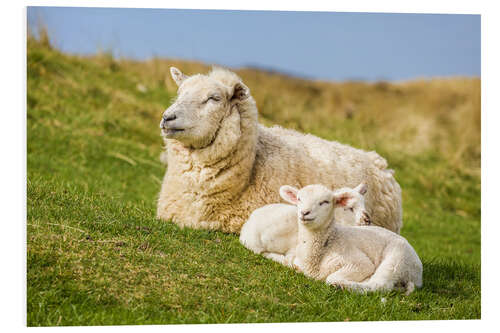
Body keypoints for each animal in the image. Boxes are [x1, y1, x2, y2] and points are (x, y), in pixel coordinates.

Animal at [282, 182, 422, 294]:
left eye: (325, 202)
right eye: (299, 199)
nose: (304, 213)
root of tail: (418, 275)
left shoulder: (359, 263)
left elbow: (331, 277)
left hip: (397, 258)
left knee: (380, 284)